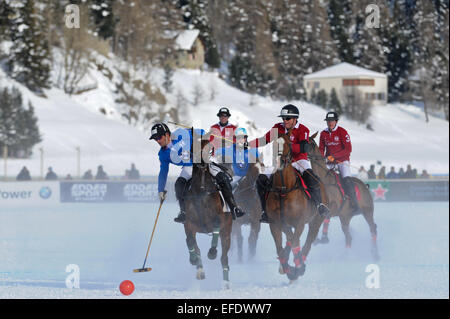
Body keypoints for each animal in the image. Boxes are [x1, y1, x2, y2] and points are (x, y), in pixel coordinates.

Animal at [183, 136, 234, 288]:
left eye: (209, 149)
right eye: (195, 147)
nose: (201, 162)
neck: (202, 190)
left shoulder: (218, 219)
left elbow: (215, 228)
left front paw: (212, 252)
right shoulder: (189, 223)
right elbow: (190, 240)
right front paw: (194, 260)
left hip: (227, 232)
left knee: (224, 258)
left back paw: (226, 284)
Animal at [266, 132, 326, 282]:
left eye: (289, 143)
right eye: (273, 143)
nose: (279, 161)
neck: (283, 189)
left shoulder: (300, 222)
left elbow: (294, 241)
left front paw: (298, 267)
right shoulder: (275, 223)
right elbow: (282, 246)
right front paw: (287, 268)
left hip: (316, 221)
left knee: (307, 242)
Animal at [302, 132, 380, 262]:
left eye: (310, 143)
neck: (323, 180)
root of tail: (365, 186)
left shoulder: (332, 206)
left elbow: (325, 218)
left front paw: (323, 238)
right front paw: (319, 239)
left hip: (367, 211)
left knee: (373, 228)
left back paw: (375, 254)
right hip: (345, 217)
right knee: (348, 237)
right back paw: (346, 256)